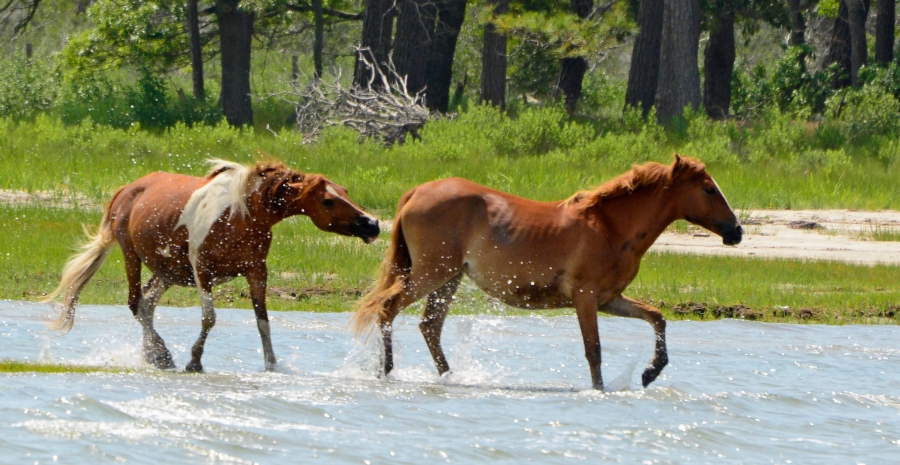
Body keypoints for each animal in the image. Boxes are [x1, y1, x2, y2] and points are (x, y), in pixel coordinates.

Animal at [45, 159, 380, 372]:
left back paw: (152, 355)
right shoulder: (202, 271)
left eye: (345, 192)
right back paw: (162, 355)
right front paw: (195, 362)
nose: (373, 224)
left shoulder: (257, 272)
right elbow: (209, 318)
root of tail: (126, 190)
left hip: (168, 270)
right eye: (327, 201)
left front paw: (272, 366)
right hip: (132, 256)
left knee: (147, 303)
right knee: (135, 302)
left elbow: (263, 323)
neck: (242, 214)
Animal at [351, 155, 742, 390]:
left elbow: (656, 317)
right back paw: (387, 372)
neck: (610, 228)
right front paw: (600, 390)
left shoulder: (609, 299)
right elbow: (593, 349)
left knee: (429, 326)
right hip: (431, 273)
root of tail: (417, 191)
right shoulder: (585, 298)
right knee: (389, 308)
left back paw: (451, 377)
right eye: (709, 188)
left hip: (449, 277)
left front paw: (651, 371)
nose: (737, 231)